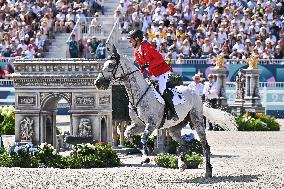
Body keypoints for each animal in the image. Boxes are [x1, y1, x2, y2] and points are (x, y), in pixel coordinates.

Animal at [95, 47, 213, 177]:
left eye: (111, 65)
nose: (98, 83)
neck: (138, 95)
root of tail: (194, 92)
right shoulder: (139, 125)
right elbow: (128, 135)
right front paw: (146, 152)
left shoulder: (152, 124)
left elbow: (143, 138)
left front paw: (145, 157)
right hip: (174, 128)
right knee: (184, 145)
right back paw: (182, 164)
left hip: (197, 121)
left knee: (205, 146)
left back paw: (208, 171)